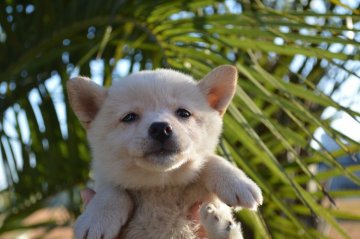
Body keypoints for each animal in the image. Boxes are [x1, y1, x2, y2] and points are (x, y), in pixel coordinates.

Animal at [67, 65, 262, 239]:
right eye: (129, 117)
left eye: (184, 113)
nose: (161, 128)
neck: (161, 186)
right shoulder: (106, 175)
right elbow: (111, 187)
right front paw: (97, 217)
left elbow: (209, 160)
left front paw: (236, 181)